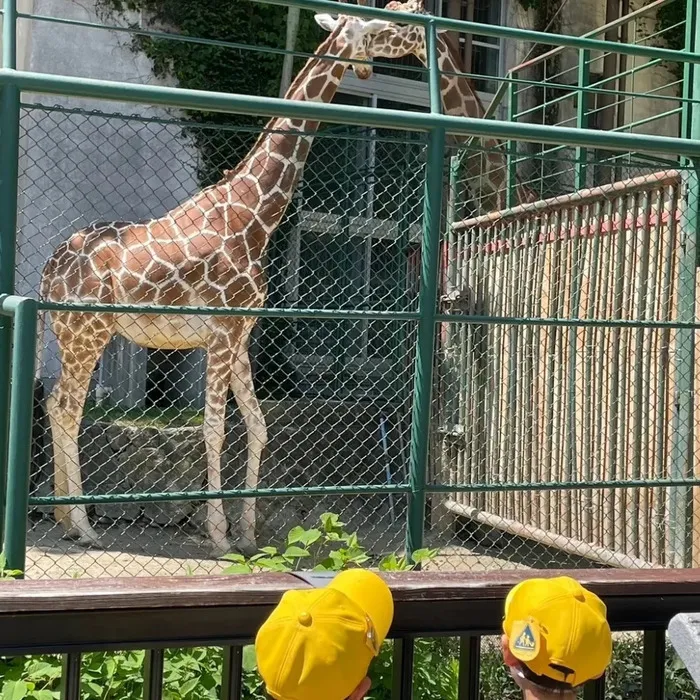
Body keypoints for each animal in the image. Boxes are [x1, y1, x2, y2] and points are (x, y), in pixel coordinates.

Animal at [39, 9, 416, 556]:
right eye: (372, 28)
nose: (409, 24)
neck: (254, 215)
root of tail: (48, 272)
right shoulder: (219, 332)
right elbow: (214, 428)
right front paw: (218, 534)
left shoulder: (239, 335)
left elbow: (257, 426)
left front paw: (249, 530)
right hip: (86, 333)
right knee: (68, 409)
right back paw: (82, 525)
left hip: (74, 336)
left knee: (54, 404)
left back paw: (65, 518)